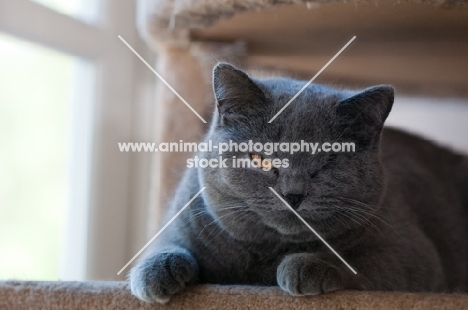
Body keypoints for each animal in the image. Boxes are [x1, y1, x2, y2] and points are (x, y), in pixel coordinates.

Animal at [129, 62, 468, 302]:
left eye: (327, 161)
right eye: (261, 159)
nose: (292, 194)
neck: (265, 256)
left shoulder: (413, 252)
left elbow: (357, 260)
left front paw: (305, 265)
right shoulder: (184, 219)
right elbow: (166, 246)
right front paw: (156, 271)